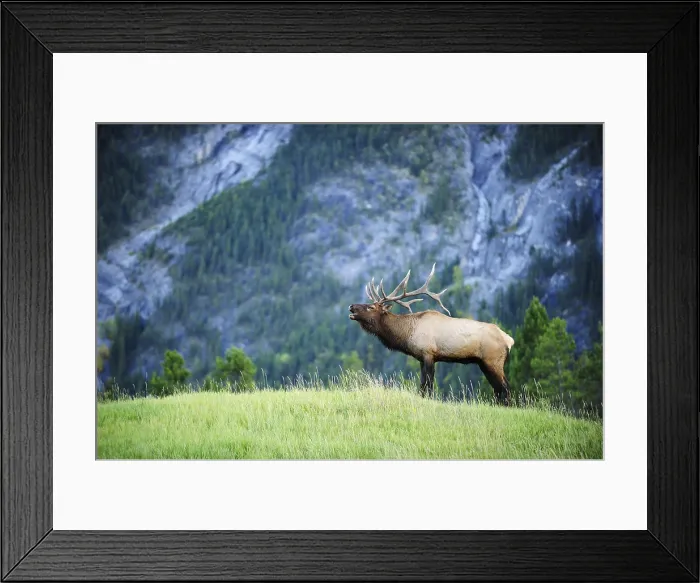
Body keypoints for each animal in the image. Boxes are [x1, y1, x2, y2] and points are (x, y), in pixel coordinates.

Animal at [348, 264, 514, 405]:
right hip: (483, 363)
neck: (407, 333)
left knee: (505, 387)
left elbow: (428, 384)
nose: (351, 306)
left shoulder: (428, 353)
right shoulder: (422, 358)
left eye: (371, 307)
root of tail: (509, 340)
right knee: (498, 388)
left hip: (493, 360)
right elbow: (423, 384)